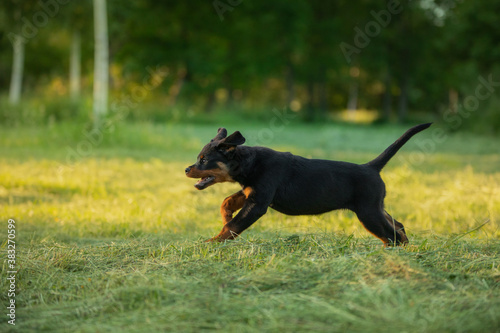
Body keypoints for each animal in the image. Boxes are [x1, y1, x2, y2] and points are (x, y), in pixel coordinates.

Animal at [186, 123, 432, 245]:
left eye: (203, 160)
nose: (187, 169)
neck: (249, 163)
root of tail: (371, 167)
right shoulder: (251, 192)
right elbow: (227, 201)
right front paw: (225, 215)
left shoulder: (258, 203)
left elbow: (233, 226)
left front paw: (211, 242)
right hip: (376, 207)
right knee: (397, 226)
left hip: (368, 212)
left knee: (391, 235)